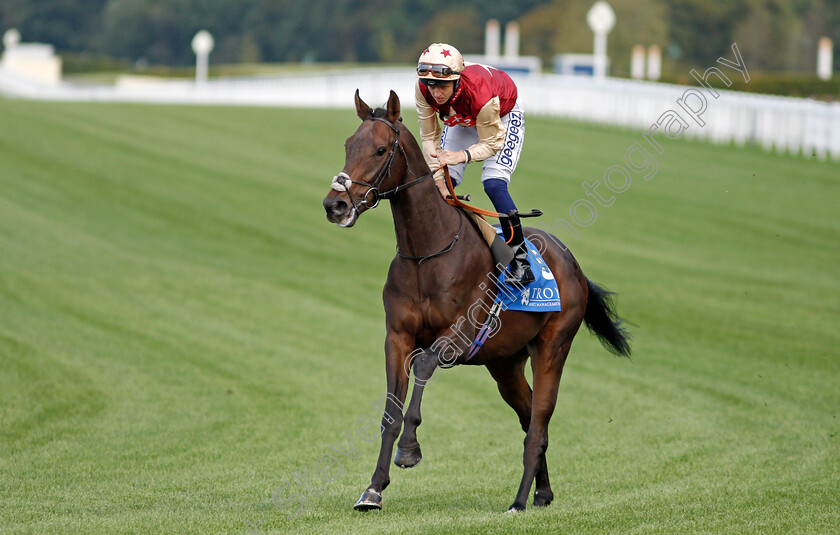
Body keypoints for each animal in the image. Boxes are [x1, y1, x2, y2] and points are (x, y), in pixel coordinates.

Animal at [322, 90, 632, 512]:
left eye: (381, 149)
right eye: (348, 145)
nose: (334, 205)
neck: (427, 252)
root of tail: (574, 266)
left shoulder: (461, 333)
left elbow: (424, 364)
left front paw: (410, 449)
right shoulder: (397, 336)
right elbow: (390, 410)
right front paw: (373, 489)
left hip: (553, 346)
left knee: (539, 424)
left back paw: (519, 501)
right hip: (505, 365)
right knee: (529, 418)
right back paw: (543, 492)